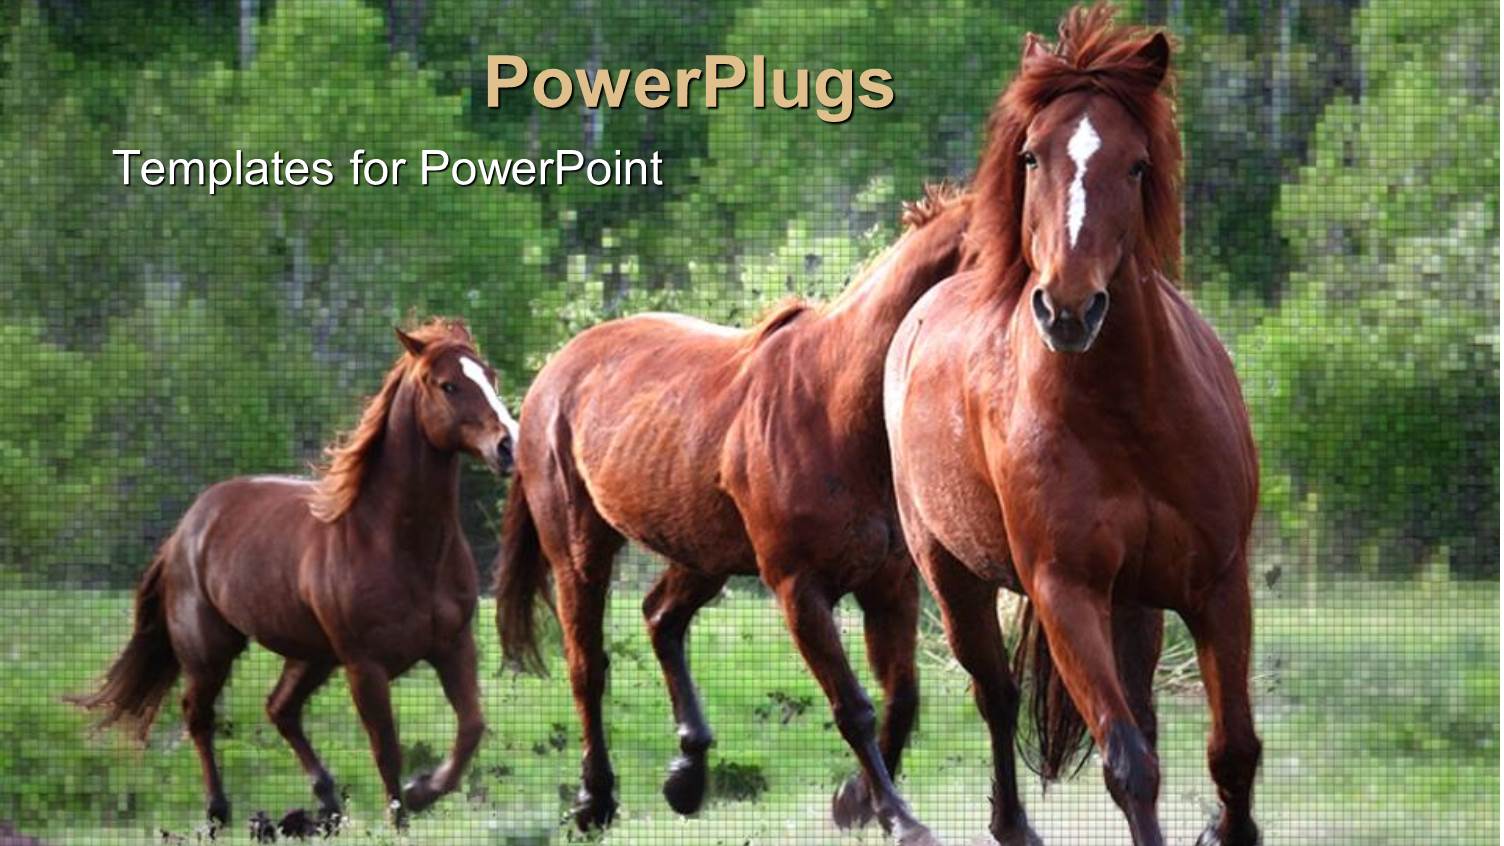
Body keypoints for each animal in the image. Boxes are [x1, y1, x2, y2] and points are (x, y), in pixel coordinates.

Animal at [71, 319, 519, 832]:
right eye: (448, 385)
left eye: (490, 376)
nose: (509, 445)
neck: (397, 542)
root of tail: (186, 528)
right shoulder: (365, 667)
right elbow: (386, 749)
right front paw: (402, 815)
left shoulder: (453, 646)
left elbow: (471, 728)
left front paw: (421, 791)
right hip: (211, 652)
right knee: (198, 715)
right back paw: (219, 812)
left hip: (310, 656)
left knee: (279, 709)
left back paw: (327, 801)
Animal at [494, 190, 971, 844]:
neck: (837, 407)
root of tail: (552, 376)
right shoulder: (800, 590)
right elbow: (853, 706)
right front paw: (898, 818)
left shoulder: (890, 583)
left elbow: (901, 698)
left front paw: (855, 801)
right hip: (580, 554)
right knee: (588, 666)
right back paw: (595, 802)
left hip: (702, 556)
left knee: (660, 618)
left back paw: (686, 776)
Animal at [884, 7, 1261, 846]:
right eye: (1031, 155)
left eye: (1136, 165)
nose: (1068, 308)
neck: (1130, 414)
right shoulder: (1068, 593)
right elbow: (1129, 764)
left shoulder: (1218, 584)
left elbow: (1233, 752)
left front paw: (1227, 830)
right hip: (954, 579)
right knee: (995, 696)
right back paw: (1011, 825)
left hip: (1138, 604)